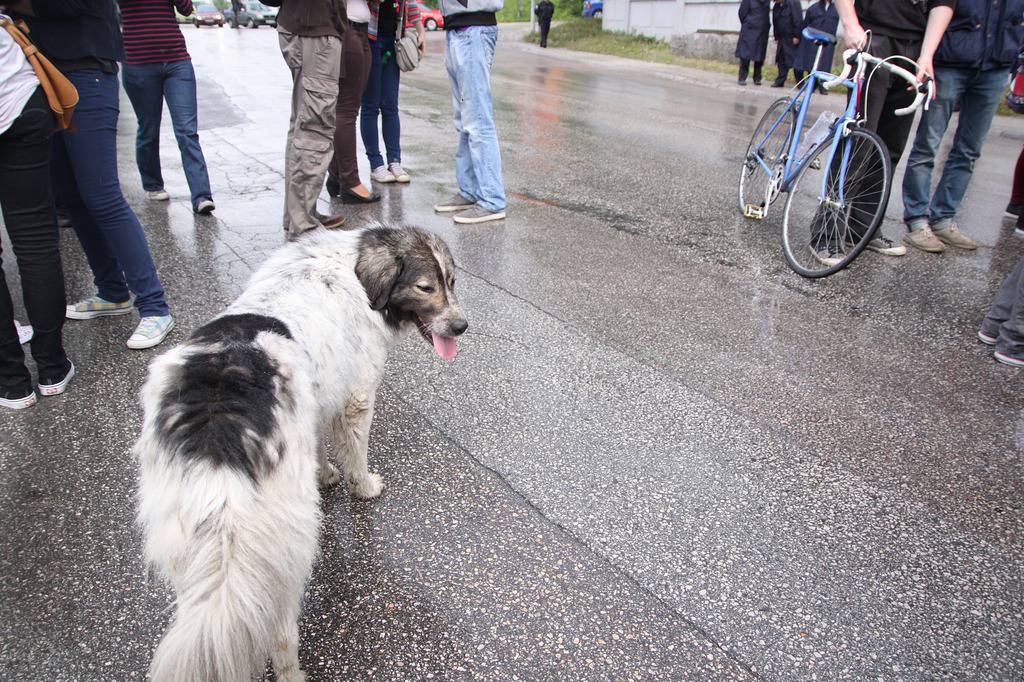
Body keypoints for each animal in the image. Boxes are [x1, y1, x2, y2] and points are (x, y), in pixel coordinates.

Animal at [135, 225, 468, 675]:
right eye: (426, 287)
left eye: (451, 282)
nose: (462, 326)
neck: (354, 271)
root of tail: (219, 433)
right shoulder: (356, 395)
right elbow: (355, 454)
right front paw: (363, 487)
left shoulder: (320, 398)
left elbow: (320, 444)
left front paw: (326, 473)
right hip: (283, 548)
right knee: (277, 630)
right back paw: (293, 673)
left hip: (191, 549)